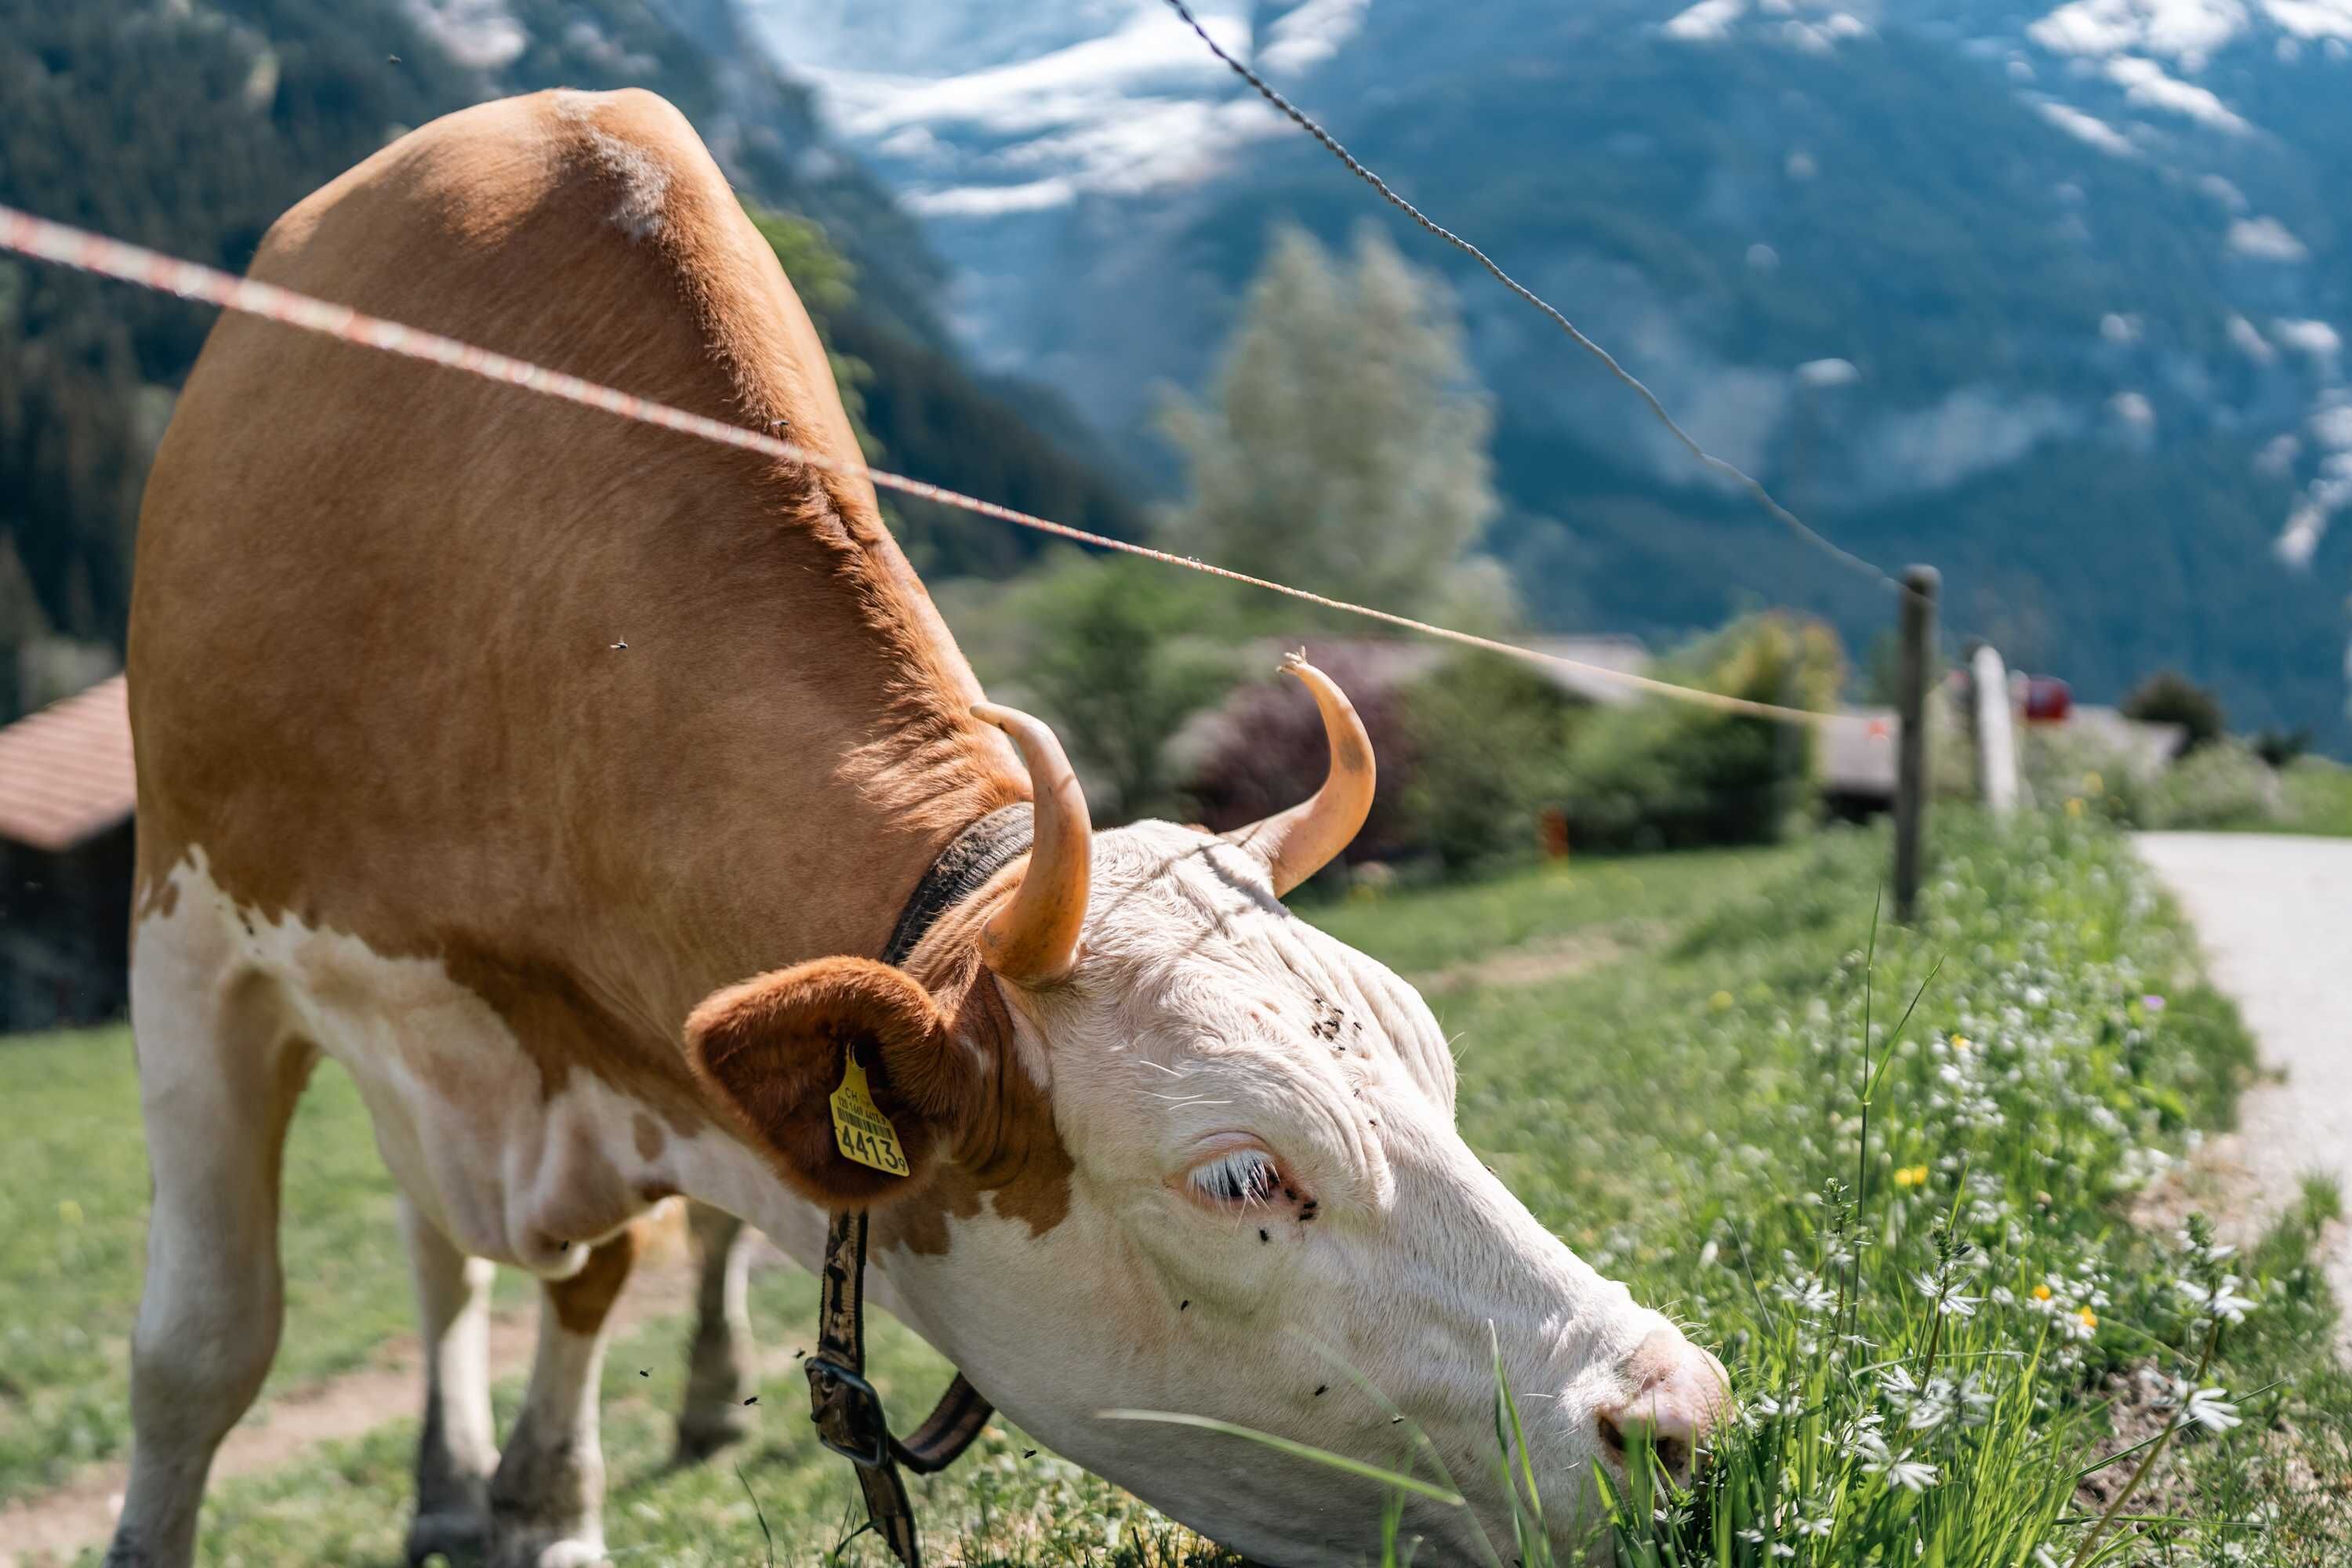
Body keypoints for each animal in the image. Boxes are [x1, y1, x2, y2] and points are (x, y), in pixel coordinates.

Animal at [109, 88, 1727, 1568]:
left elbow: (595, 1281)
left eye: (1440, 1074)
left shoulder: (616, 1055)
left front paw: (548, 1510)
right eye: (1241, 1178)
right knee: (441, 1259)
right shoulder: (189, 941)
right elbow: (202, 1345)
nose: (1679, 1416)